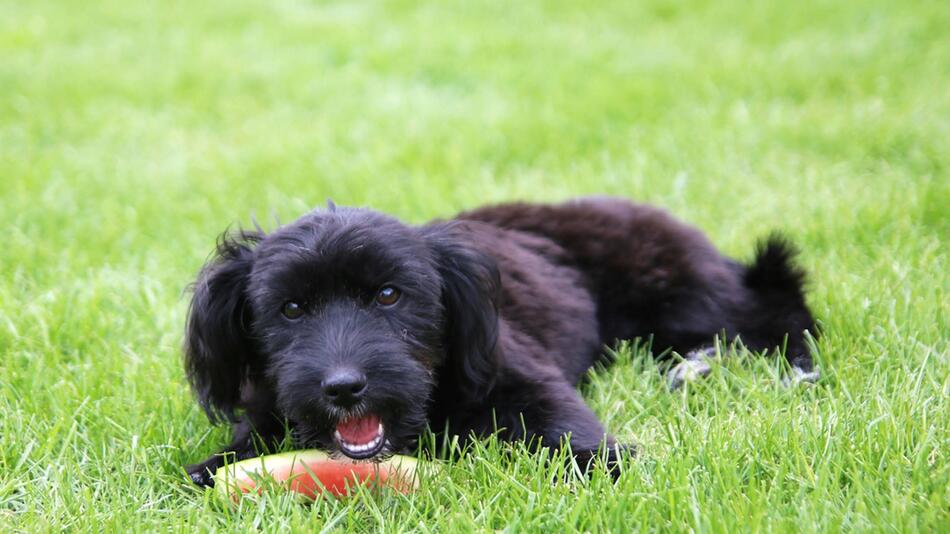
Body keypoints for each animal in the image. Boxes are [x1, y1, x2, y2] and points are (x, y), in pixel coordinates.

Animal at [184, 197, 820, 486]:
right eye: (291, 309)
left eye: (388, 295)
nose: (343, 388)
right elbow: (232, 454)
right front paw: (212, 470)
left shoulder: (528, 383)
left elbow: (569, 434)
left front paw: (611, 467)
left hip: (683, 297)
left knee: (780, 312)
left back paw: (787, 370)